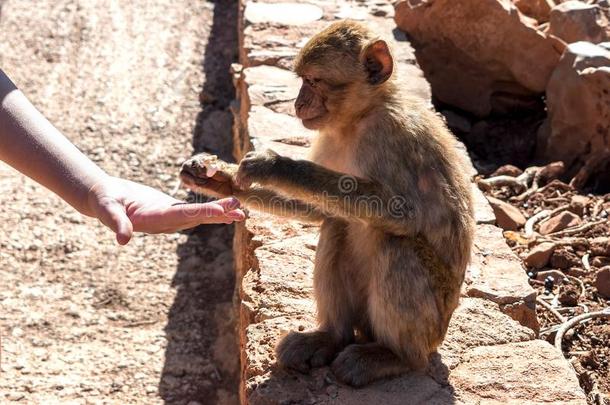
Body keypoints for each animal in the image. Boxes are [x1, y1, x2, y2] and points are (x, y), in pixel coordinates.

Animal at [180, 21, 476, 386]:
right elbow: (320, 210)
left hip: (431, 326)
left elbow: (403, 215)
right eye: (303, 80)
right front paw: (219, 179)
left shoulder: (392, 136)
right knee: (337, 224)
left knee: (395, 243)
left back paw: (394, 356)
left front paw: (274, 165)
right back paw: (332, 337)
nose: (298, 103)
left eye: (314, 81)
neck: (358, 118)